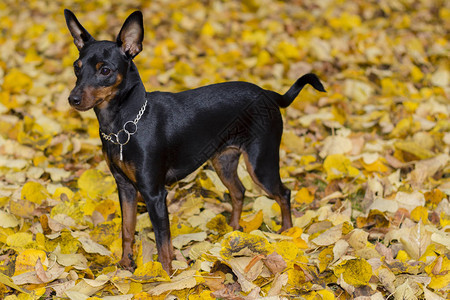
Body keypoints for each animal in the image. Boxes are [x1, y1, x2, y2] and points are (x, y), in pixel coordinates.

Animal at [64, 9, 324, 274]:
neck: (124, 125)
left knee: (283, 193)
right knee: (239, 191)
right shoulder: (125, 187)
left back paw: (287, 234)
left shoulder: (155, 195)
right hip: (224, 161)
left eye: (105, 71)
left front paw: (165, 275)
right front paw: (126, 265)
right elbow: (127, 228)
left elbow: (163, 241)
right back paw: (232, 231)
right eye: (77, 68)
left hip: (261, 165)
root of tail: (269, 95)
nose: (72, 99)